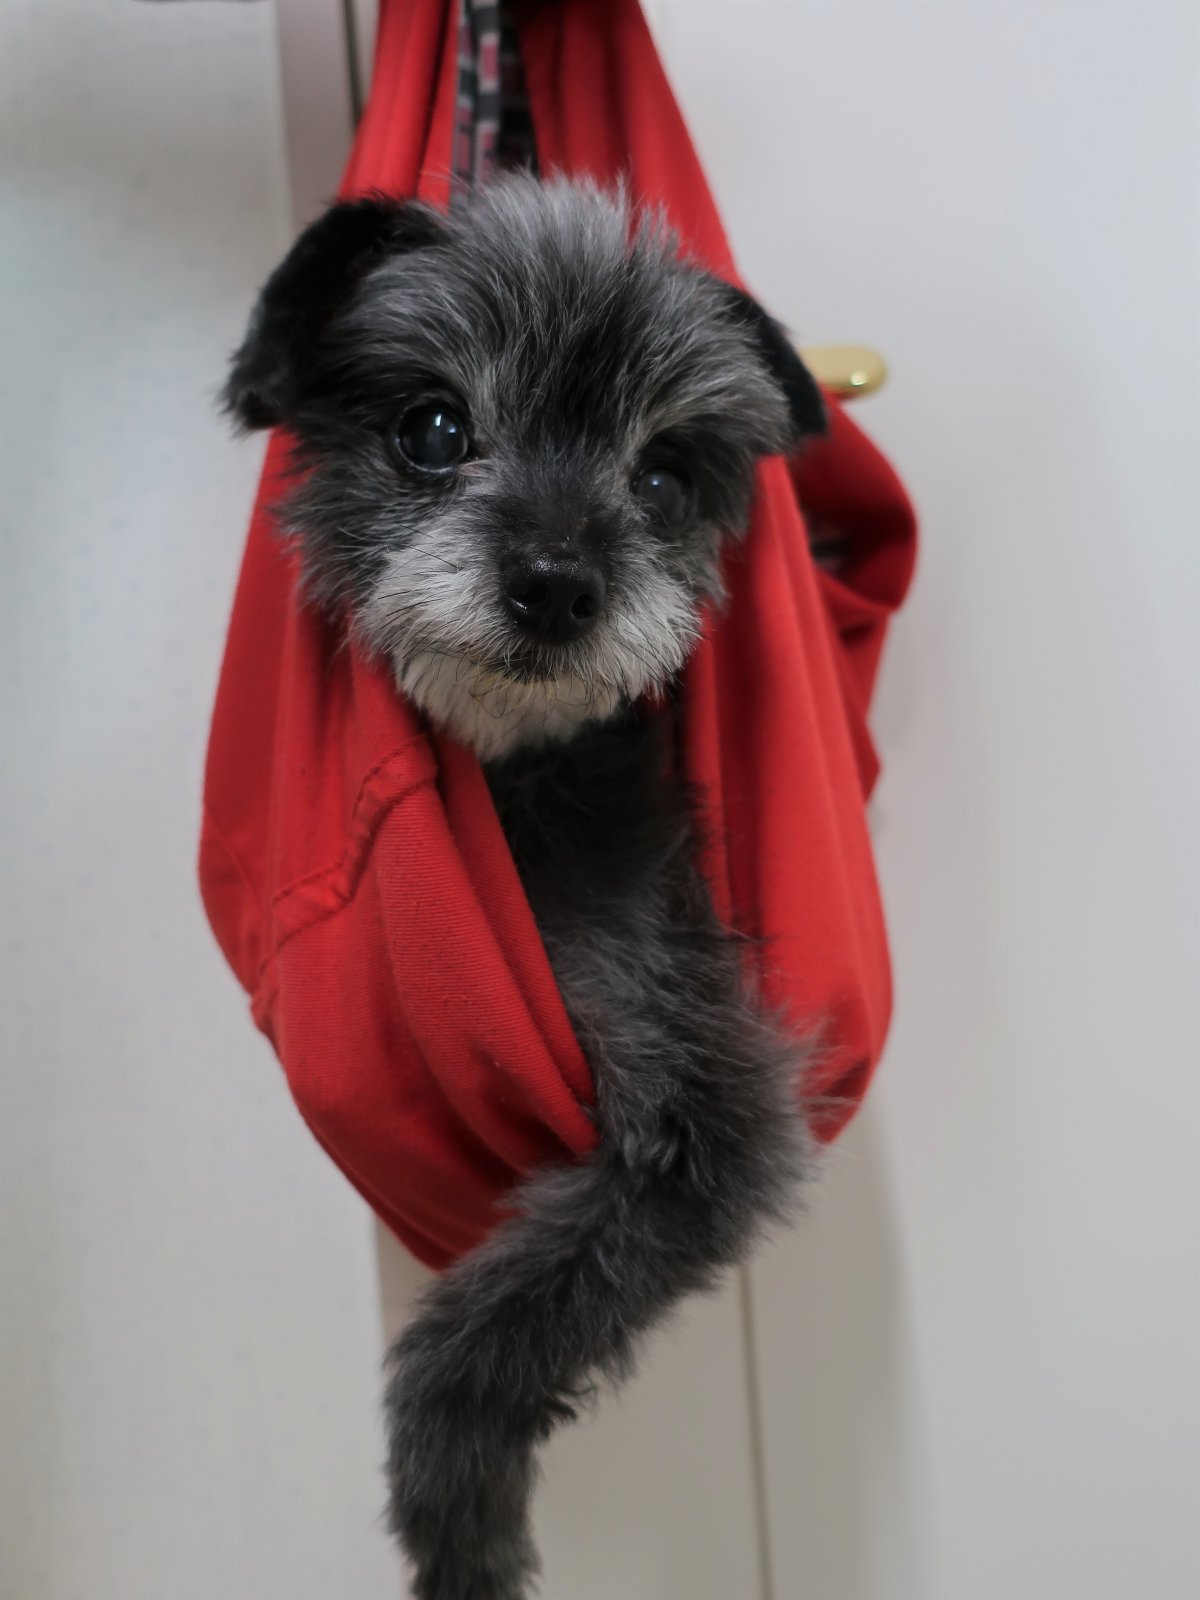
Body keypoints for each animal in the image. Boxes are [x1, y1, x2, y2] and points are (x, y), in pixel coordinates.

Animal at [225, 175, 826, 1600]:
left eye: (662, 474)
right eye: (432, 429)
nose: (556, 584)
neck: (513, 781)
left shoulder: (701, 1112)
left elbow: (486, 1338)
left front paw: (461, 1537)